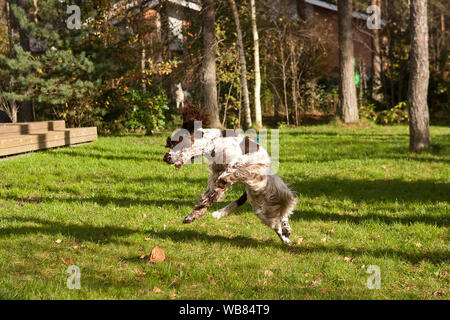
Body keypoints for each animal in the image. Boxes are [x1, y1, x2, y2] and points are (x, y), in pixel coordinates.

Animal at [163, 121, 298, 244]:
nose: (165, 158)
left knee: (284, 209)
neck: (213, 142)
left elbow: (229, 173)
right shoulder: (216, 173)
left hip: (272, 188)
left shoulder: (240, 162)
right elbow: (208, 196)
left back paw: (286, 231)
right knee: (277, 221)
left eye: (174, 143)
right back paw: (286, 237)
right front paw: (193, 215)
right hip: (259, 203)